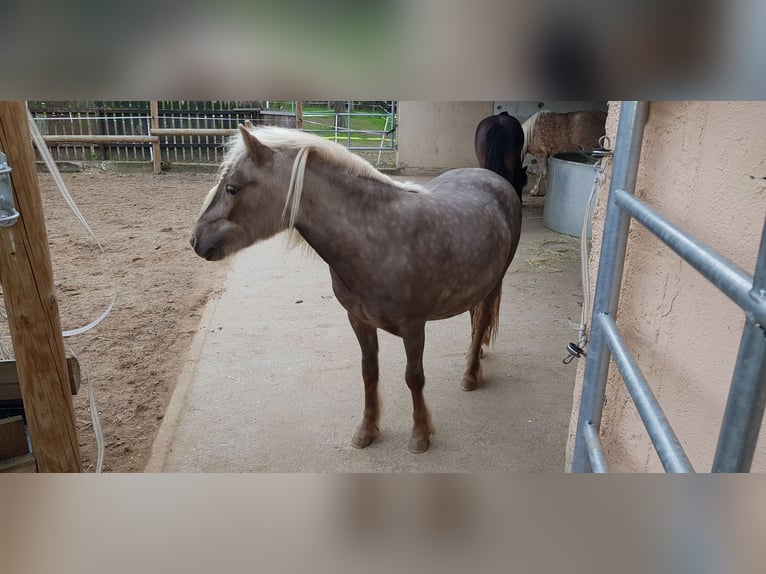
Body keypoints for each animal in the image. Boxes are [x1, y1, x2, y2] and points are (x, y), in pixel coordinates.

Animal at [190, 123, 523, 453]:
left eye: (232, 188)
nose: (195, 240)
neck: (379, 237)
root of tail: (497, 180)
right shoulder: (359, 321)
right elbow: (369, 374)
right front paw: (367, 430)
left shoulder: (414, 327)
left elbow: (414, 377)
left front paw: (419, 434)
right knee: (475, 319)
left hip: (495, 281)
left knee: (482, 321)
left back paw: (470, 374)